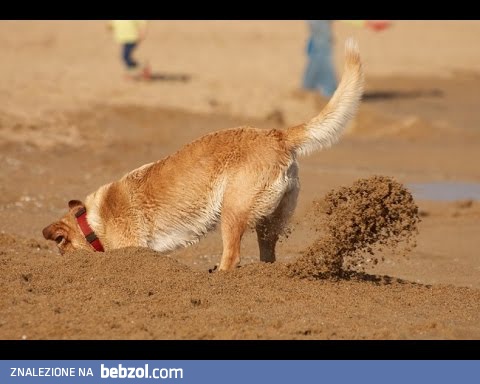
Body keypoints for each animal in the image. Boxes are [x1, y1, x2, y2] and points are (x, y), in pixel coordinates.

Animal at [42, 38, 364, 270]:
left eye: (62, 249)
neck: (93, 222)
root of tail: (276, 135)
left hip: (233, 211)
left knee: (232, 256)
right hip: (270, 218)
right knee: (267, 255)